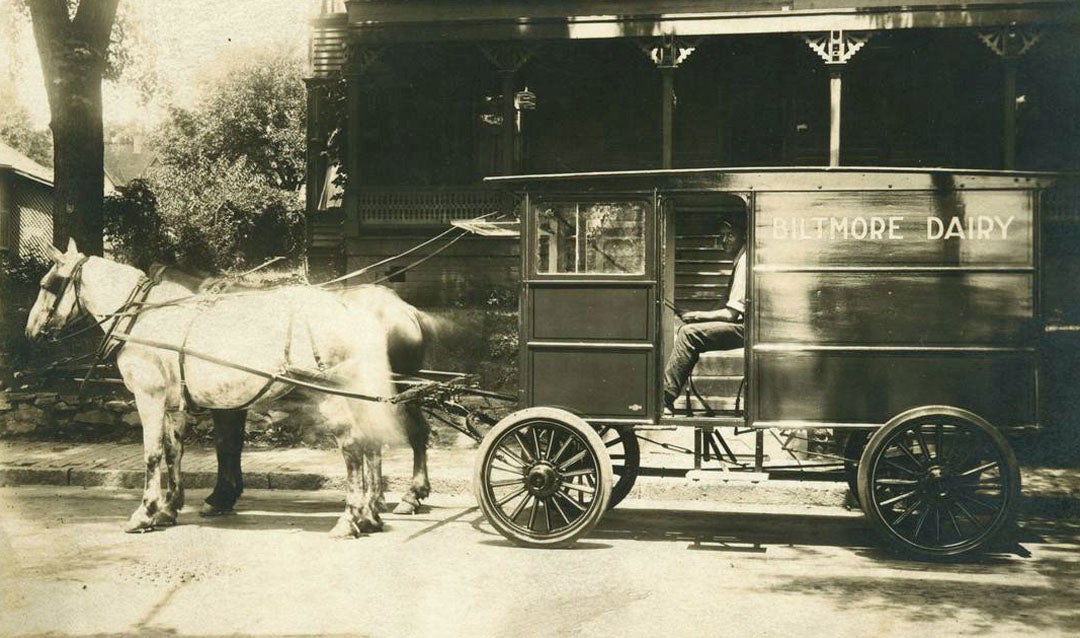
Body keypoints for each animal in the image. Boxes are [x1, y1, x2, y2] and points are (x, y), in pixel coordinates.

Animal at [26, 239, 406, 539]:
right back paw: (369, 515)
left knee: (353, 448)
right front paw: (168, 508)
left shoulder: (149, 396)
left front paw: (144, 513)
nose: (30, 332)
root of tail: (350, 310)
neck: (142, 317)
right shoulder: (172, 402)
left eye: (47, 284)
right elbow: (173, 451)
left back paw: (350, 518)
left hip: (333, 396)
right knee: (369, 445)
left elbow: (152, 454)